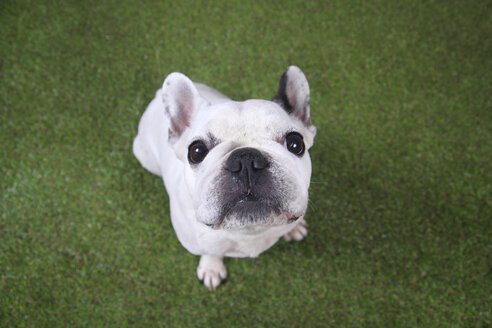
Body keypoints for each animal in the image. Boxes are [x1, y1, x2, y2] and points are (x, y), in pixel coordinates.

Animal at [133, 64, 318, 290]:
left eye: (295, 143)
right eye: (196, 151)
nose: (246, 159)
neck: (248, 230)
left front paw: (293, 228)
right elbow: (210, 252)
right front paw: (211, 267)